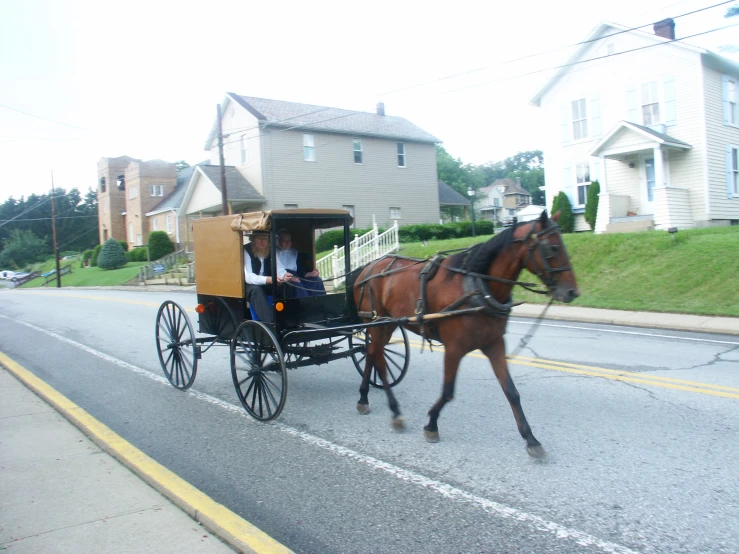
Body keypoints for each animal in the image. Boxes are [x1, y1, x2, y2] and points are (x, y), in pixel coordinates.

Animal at [352, 209, 580, 454]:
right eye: (553, 248)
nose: (572, 292)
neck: (478, 287)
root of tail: (367, 268)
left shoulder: (494, 344)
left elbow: (511, 391)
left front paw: (531, 438)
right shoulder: (455, 347)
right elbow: (448, 391)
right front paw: (432, 423)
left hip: (386, 323)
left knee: (371, 354)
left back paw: (364, 397)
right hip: (377, 322)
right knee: (379, 361)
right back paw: (394, 411)